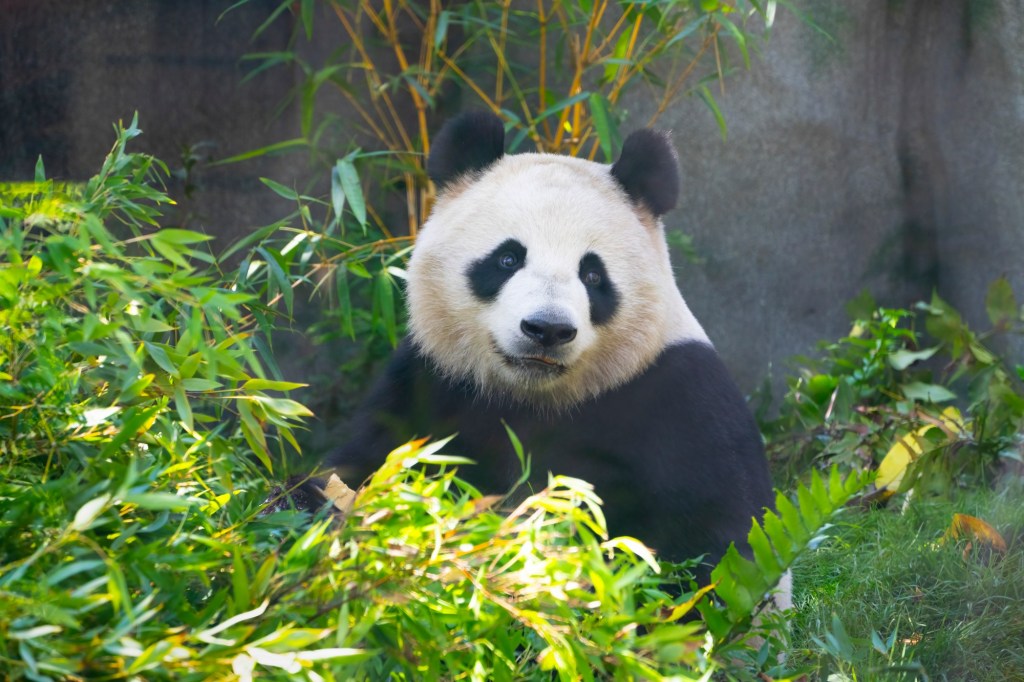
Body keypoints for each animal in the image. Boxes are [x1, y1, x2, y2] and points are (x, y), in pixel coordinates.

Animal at [327, 111, 774, 585]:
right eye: (507, 259)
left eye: (593, 275)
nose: (547, 329)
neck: (533, 395)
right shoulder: (431, 379)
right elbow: (351, 477)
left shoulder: (681, 398)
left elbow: (721, 547)